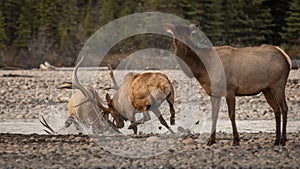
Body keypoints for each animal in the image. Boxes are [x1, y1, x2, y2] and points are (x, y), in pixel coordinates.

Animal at [164, 23, 292, 146]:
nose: (179, 51)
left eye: (188, 36)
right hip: (267, 89)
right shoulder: (214, 93)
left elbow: (231, 114)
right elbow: (214, 115)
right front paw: (211, 140)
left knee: (284, 108)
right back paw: (276, 140)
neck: (202, 69)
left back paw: (283, 140)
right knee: (276, 109)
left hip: (278, 84)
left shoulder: (230, 89)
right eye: (175, 36)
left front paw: (236, 140)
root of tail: (286, 57)